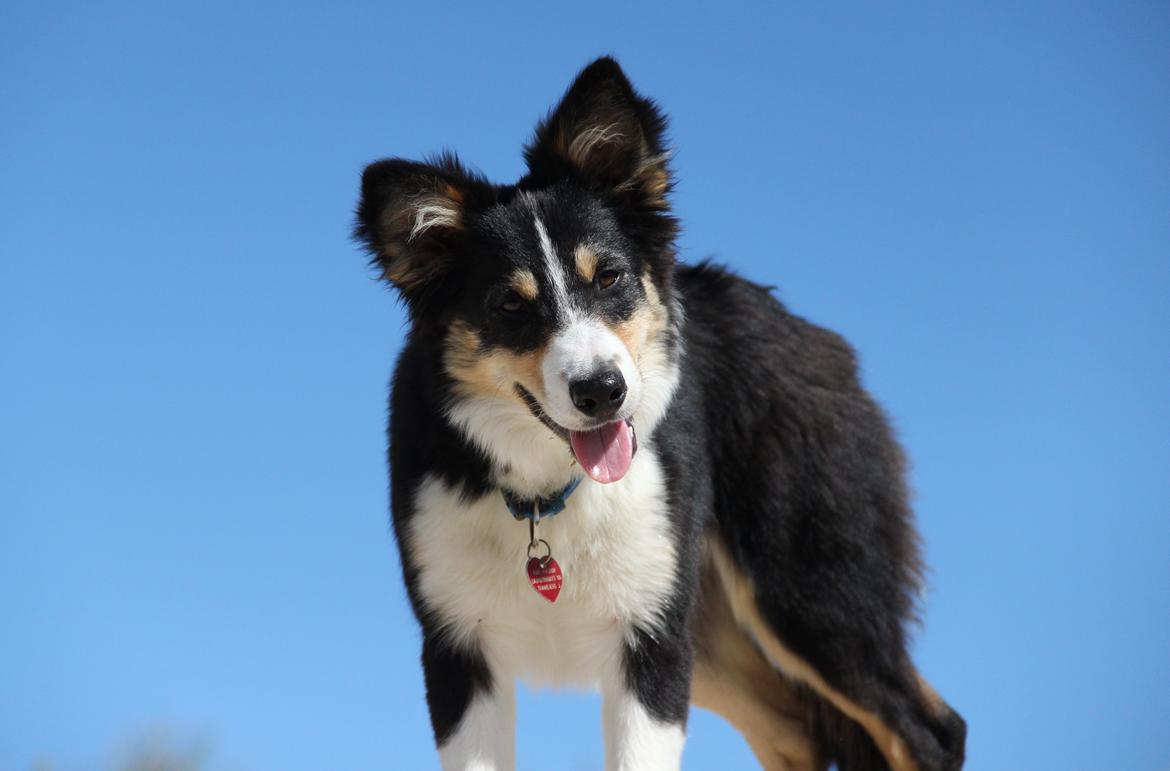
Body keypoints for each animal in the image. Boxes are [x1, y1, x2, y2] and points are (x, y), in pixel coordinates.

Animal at [351, 55, 964, 771]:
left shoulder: (651, 635)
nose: (602, 391)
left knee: (930, 729)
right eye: (510, 305)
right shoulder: (458, 647)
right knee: (796, 729)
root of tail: (805, 328)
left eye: (610, 277)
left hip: (808, 587)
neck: (547, 498)